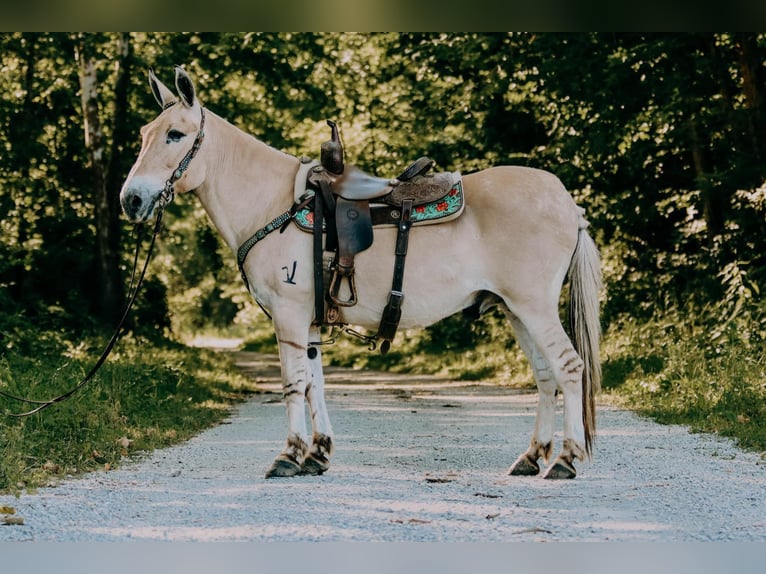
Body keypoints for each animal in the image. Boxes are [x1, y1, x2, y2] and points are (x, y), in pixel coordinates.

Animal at [120, 66, 604, 482]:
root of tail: (566, 202)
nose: (131, 200)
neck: (274, 203)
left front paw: (289, 455)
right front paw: (317, 454)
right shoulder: (310, 322)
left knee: (569, 367)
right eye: (143, 135)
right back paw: (531, 457)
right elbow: (314, 384)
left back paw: (565, 460)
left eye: (175, 135)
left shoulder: (289, 315)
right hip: (515, 310)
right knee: (545, 375)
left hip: (534, 306)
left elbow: (293, 383)